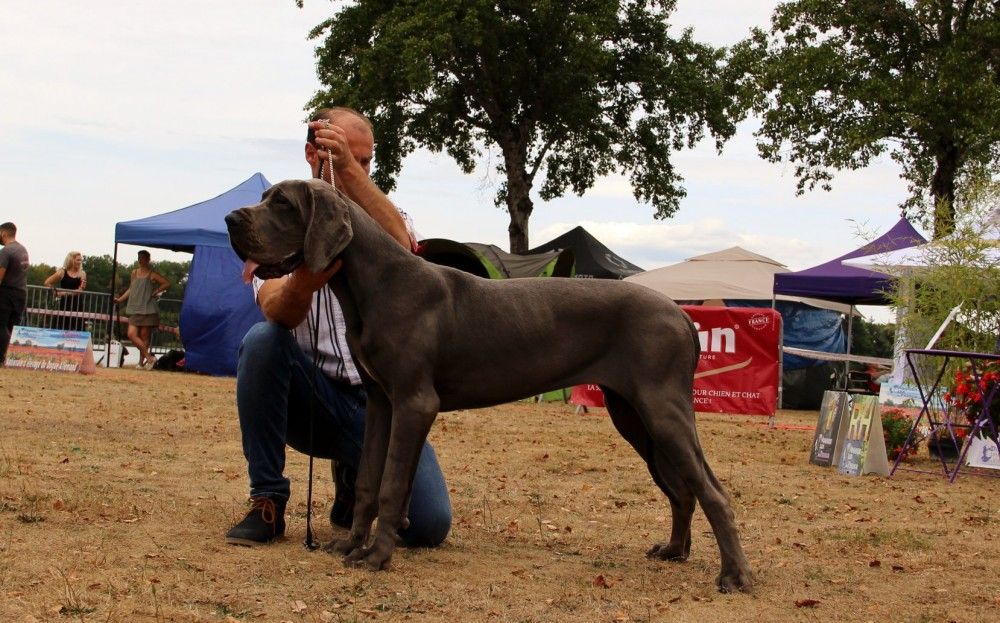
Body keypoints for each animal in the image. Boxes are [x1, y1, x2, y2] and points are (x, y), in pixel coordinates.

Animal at [226, 179, 753, 593]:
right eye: (266, 198)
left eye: (283, 204)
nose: (231, 218)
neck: (372, 283)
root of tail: (682, 315)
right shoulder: (381, 403)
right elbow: (370, 481)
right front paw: (352, 545)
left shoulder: (415, 403)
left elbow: (393, 483)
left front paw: (377, 556)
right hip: (633, 415)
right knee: (682, 489)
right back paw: (675, 550)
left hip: (661, 409)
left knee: (712, 491)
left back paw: (734, 576)